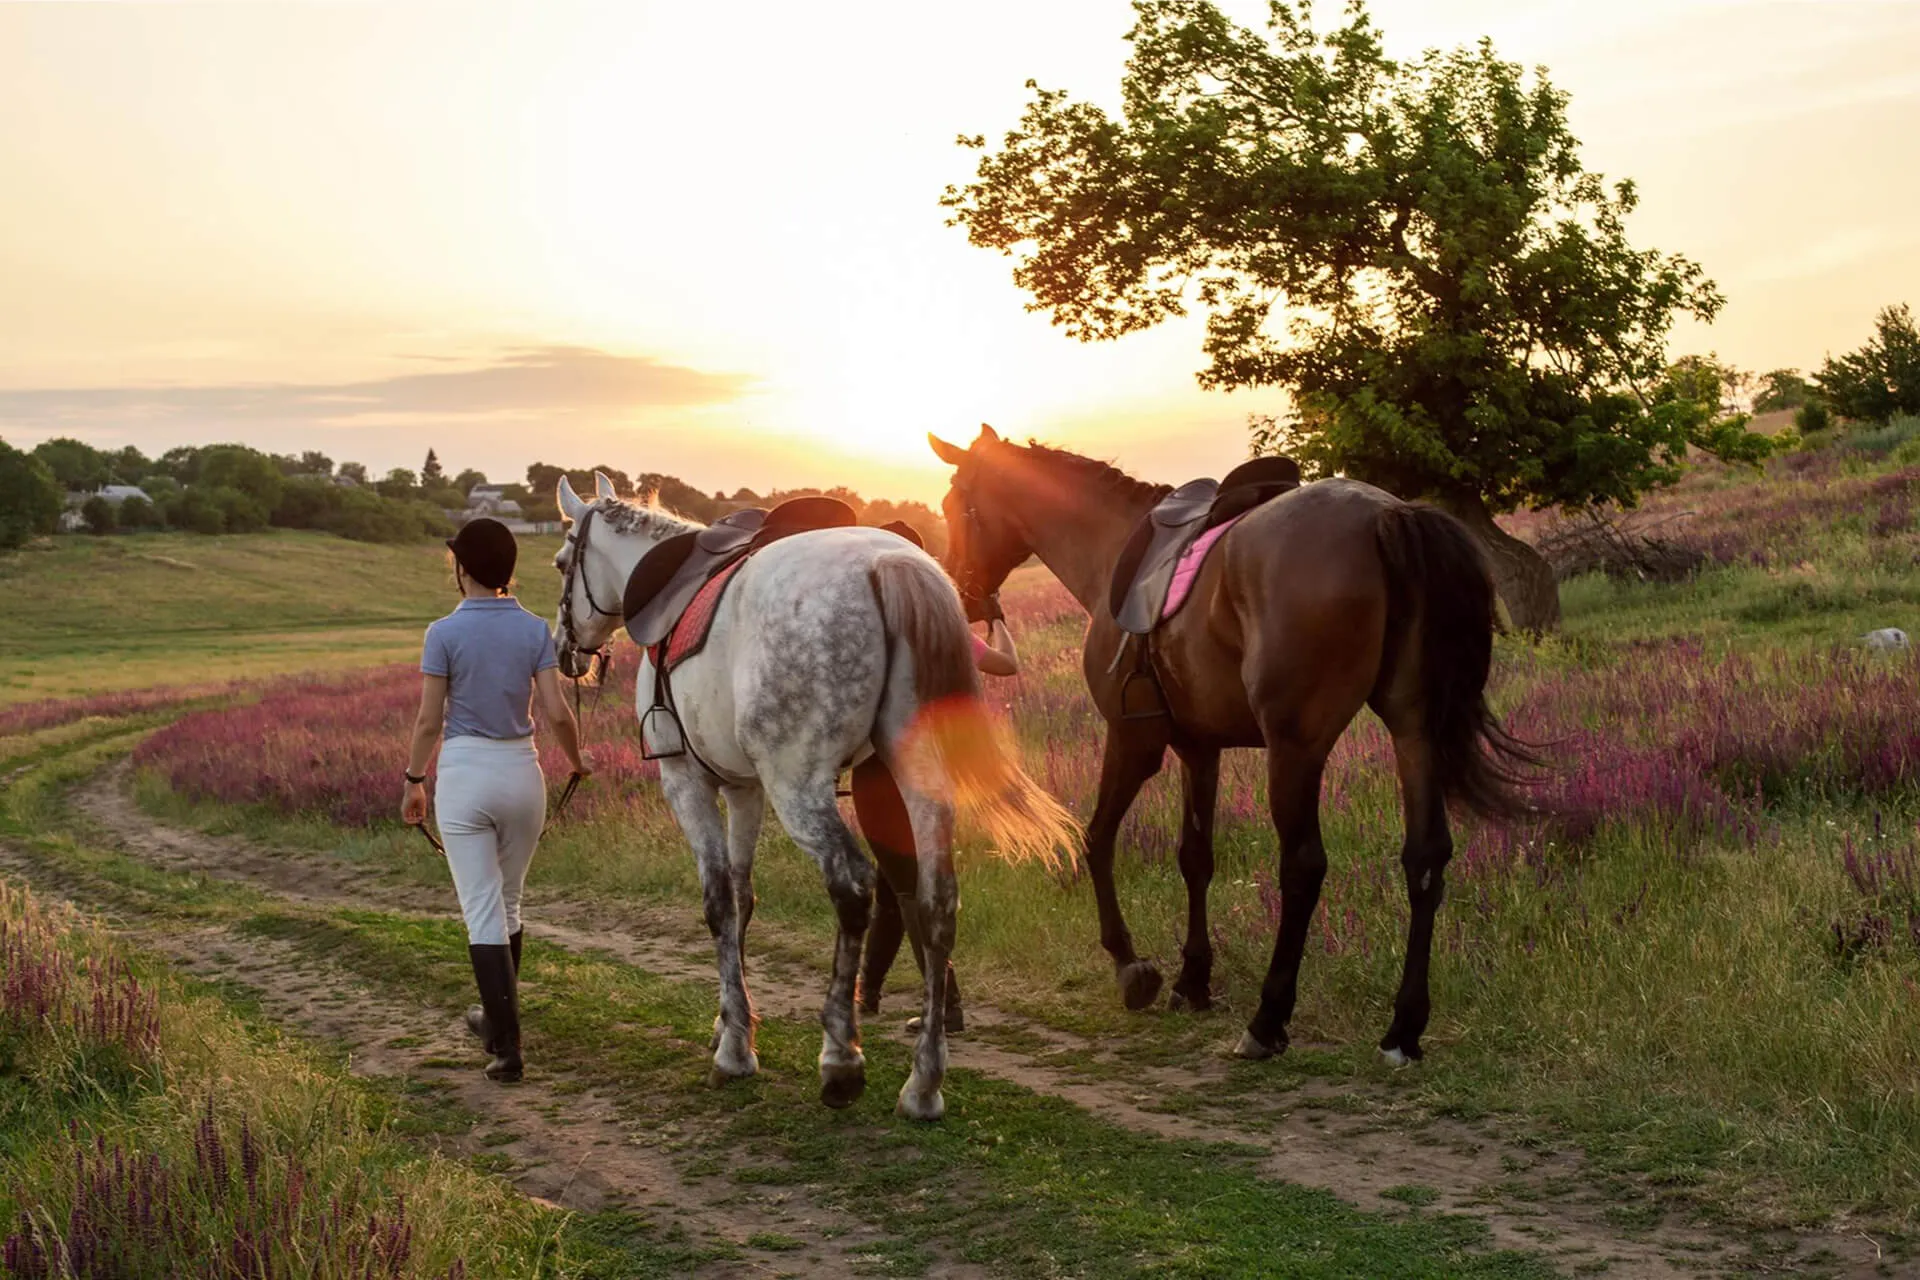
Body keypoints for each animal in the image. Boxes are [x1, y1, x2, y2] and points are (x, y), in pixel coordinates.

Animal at [549, 471, 1077, 1119]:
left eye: (561, 563)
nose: (565, 651)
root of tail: (892, 565)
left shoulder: (688, 782)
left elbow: (718, 902)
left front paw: (735, 1050)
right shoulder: (744, 788)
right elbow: (743, 898)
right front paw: (731, 1022)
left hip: (798, 787)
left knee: (853, 885)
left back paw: (841, 1059)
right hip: (916, 781)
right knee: (936, 901)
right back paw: (923, 1082)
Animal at [928, 427, 1533, 1065]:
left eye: (955, 506)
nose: (961, 593)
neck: (1111, 547)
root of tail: (1389, 514)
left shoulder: (1133, 741)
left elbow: (1096, 839)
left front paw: (1131, 967)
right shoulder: (1200, 748)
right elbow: (1196, 857)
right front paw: (1193, 980)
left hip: (1296, 748)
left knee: (1303, 866)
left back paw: (1268, 1020)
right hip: (1413, 731)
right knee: (1425, 858)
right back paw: (1403, 1029)